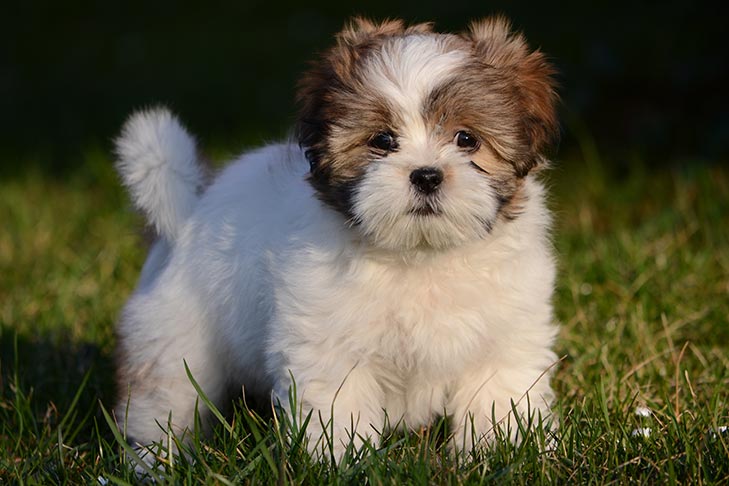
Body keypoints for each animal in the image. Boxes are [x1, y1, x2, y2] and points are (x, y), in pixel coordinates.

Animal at [112, 14, 556, 464]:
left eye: (467, 138)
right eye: (382, 140)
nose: (427, 175)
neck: (421, 255)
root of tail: (192, 206)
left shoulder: (506, 337)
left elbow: (498, 394)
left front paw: (500, 452)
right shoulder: (328, 344)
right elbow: (340, 407)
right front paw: (342, 461)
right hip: (174, 338)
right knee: (165, 401)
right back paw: (157, 460)